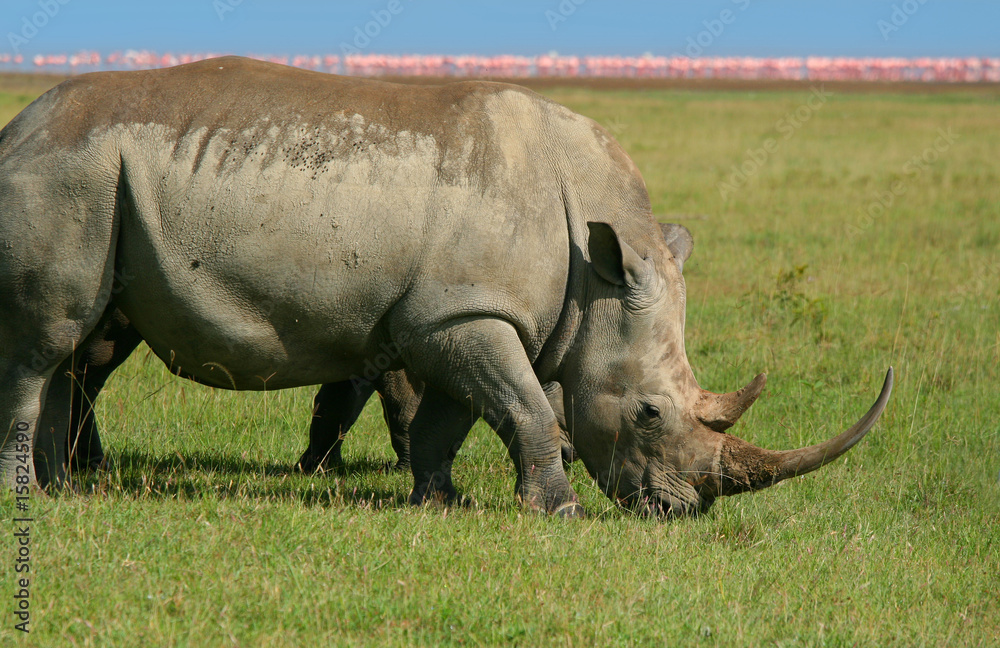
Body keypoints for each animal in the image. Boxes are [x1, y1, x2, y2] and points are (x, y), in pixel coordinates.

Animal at [0, 57, 892, 516]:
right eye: (648, 413)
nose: (681, 510)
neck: (597, 275)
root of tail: (20, 126)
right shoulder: (467, 313)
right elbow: (527, 408)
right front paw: (559, 513)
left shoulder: (462, 317)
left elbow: (456, 418)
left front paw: (440, 501)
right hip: (67, 173)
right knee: (47, 343)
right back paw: (33, 495)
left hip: (97, 176)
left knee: (80, 344)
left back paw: (69, 491)